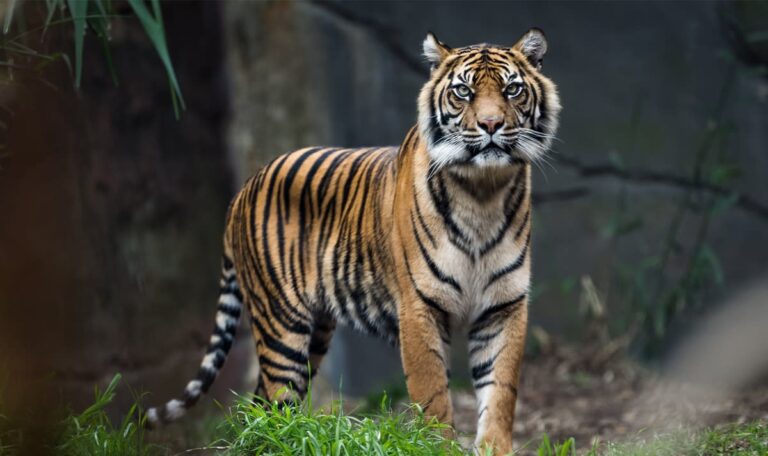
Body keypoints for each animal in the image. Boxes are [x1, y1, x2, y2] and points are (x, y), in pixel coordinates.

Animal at [146, 28, 560, 454]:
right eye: (464, 91)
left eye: (512, 90)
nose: (491, 123)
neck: (482, 192)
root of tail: (242, 190)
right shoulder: (419, 308)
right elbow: (434, 398)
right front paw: (437, 446)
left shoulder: (503, 307)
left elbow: (500, 392)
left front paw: (494, 447)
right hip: (281, 326)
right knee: (275, 400)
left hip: (315, 333)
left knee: (260, 404)